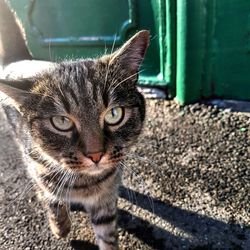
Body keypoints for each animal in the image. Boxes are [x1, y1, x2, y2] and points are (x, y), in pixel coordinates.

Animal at [0, 10, 148, 250]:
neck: (85, 181)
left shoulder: (104, 201)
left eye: (114, 114)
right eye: (61, 121)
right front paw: (60, 227)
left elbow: (107, 234)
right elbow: (51, 198)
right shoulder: (38, 168)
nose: (96, 155)